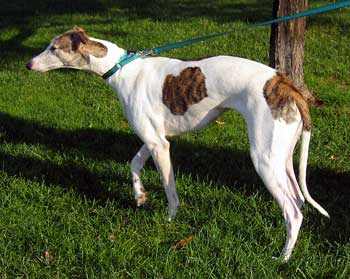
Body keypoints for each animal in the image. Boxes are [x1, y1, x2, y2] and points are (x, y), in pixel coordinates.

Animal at [26, 27, 328, 262]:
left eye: (54, 48)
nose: (28, 65)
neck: (122, 68)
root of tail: (287, 85)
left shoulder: (159, 146)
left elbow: (169, 187)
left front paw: (169, 219)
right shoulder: (155, 138)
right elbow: (134, 163)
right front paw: (139, 195)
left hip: (264, 159)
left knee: (292, 211)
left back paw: (282, 258)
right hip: (281, 157)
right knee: (298, 200)